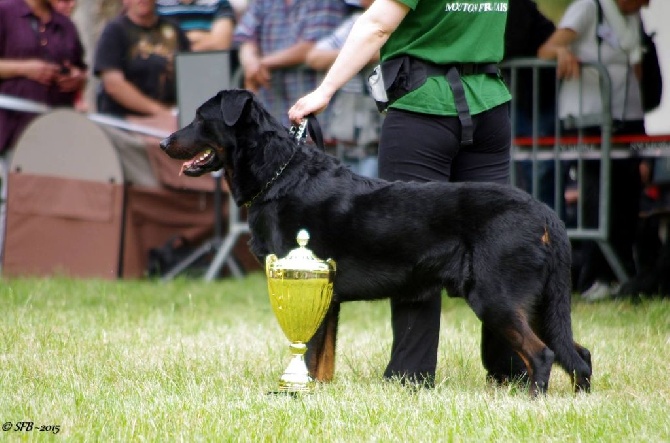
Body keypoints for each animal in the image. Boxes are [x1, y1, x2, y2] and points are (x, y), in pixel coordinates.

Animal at [161, 88, 592, 398]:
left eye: (200, 118)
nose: (165, 143)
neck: (279, 177)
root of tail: (547, 214)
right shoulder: (328, 297)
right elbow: (324, 360)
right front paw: (317, 393)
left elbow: (311, 352)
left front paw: (299, 393)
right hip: (538, 302)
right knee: (579, 354)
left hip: (496, 296)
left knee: (542, 354)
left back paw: (533, 399)